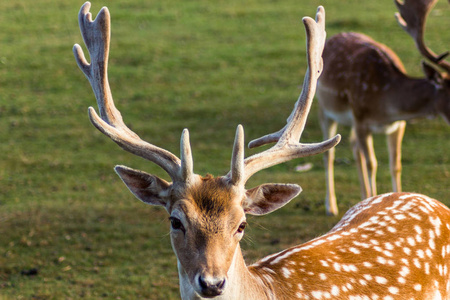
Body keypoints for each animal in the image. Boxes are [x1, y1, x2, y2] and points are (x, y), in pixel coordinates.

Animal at [316, 0, 450, 216]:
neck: (386, 105)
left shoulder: (398, 125)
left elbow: (395, 165)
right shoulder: (362, 119)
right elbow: (372, 163)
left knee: (354, 146)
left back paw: (361, 198)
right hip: (324, 107)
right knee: (329, 153)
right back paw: (331, 206)